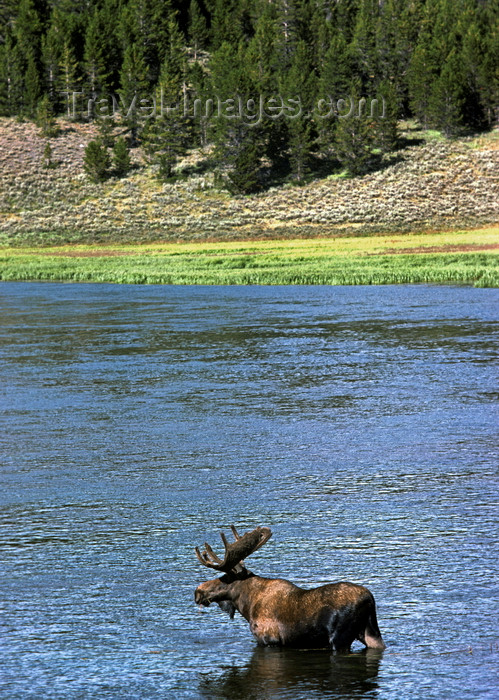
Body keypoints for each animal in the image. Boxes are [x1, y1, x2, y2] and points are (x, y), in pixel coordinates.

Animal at [195, 524, 386, 652]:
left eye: (225, 578)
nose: (198, 591)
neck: (247, 606)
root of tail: (370, 600)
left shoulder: (269, 640)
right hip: (371, 633)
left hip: (340, 638)